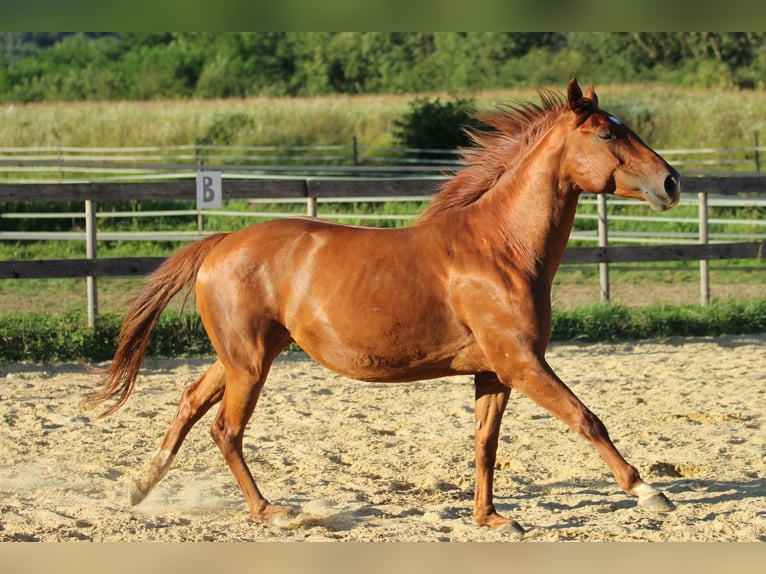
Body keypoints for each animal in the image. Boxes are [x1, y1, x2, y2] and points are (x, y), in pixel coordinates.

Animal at [87, 79, 680, 536]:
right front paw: (649, 492)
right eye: (607, 132)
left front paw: (490, 518)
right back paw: (272, 512)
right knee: (226, 431)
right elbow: (587, 419)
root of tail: (220, 244)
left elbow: (485, 444)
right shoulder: (522, 363)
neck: (501, 246)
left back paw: (140, 486)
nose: (671, 182)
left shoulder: (494, 372)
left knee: (190, 404)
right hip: (250, 364)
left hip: (242, 357)